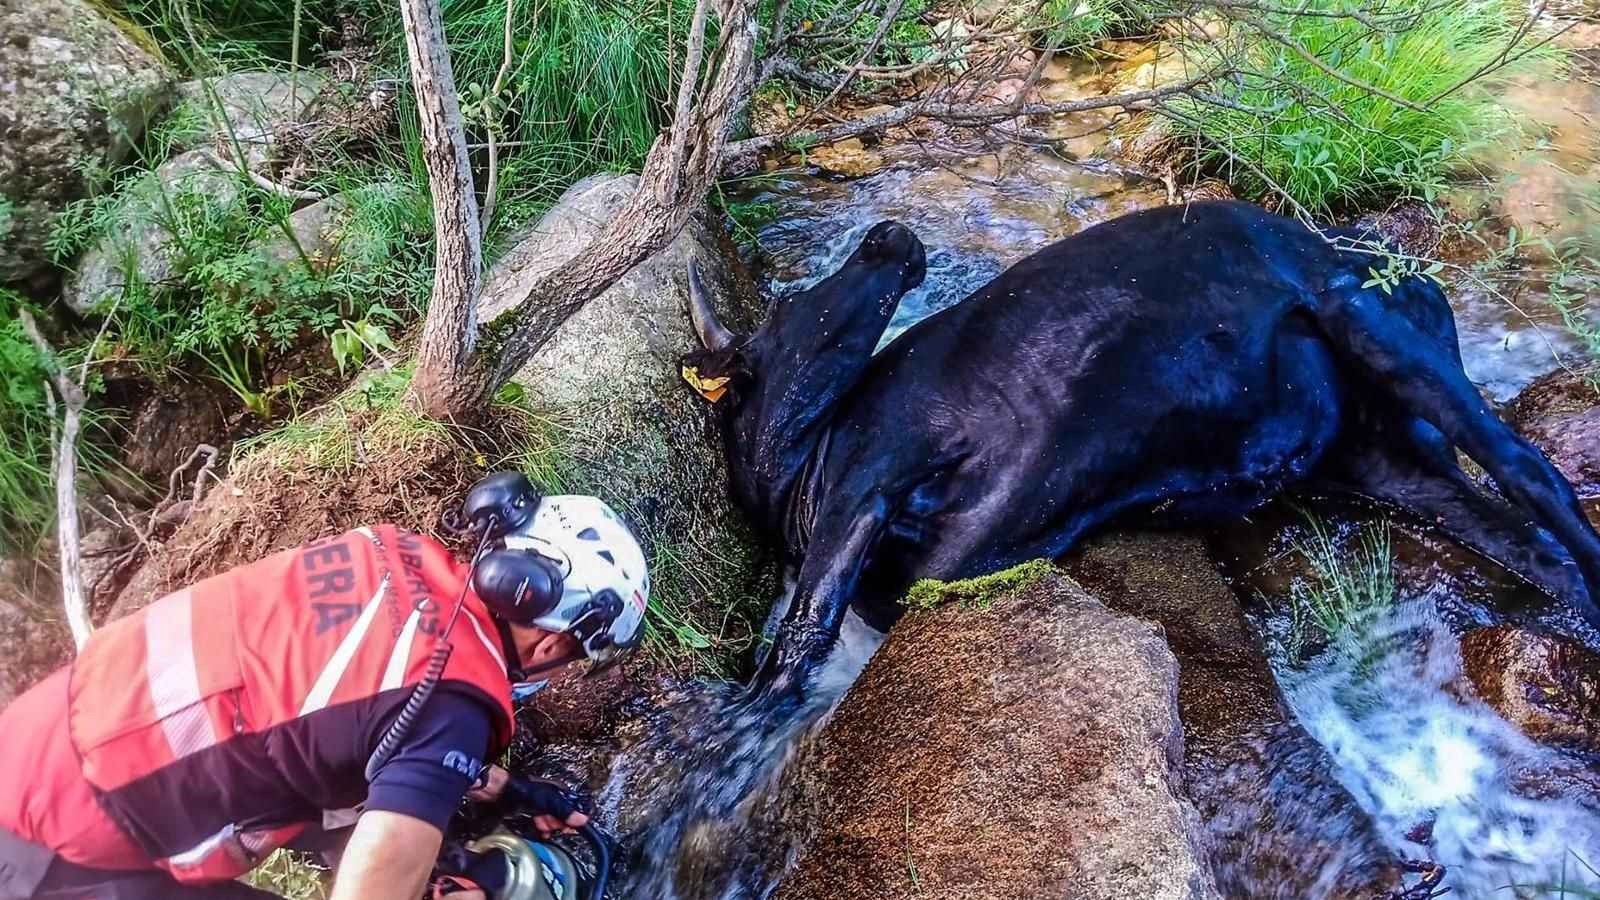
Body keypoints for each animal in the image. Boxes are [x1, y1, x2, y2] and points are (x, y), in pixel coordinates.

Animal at [681, 201, 1600, 695]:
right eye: (792, 302)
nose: (888, 234)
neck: (803, 473)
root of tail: (1408, 269)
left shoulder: (871, 477)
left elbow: (804, 630)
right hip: (1385, 455)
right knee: (1529, 545)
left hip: (1359, 315)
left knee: (1538, 475)